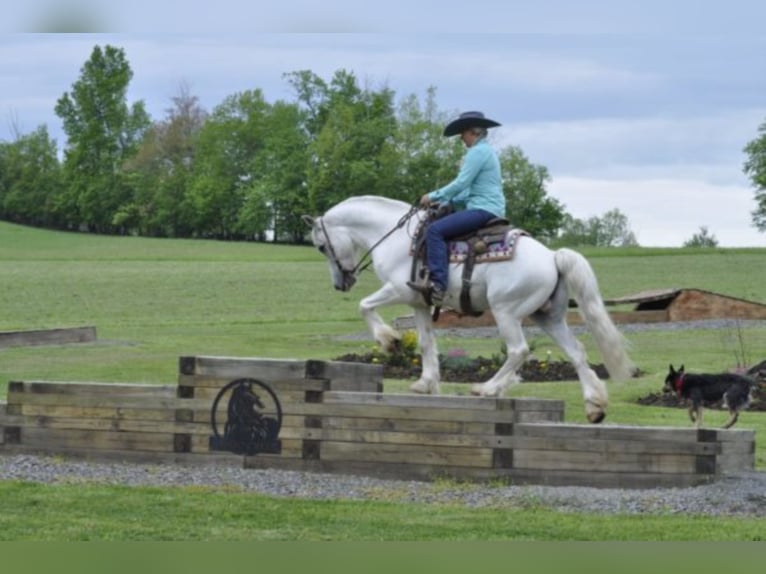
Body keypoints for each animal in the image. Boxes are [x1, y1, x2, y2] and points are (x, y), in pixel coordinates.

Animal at [304, 196, 636, 426]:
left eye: (321, 246)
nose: (341, 283)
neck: (395, 237)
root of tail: (553, 256)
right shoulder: (419, 303)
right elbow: (426, 343)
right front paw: (426, 382)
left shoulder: (399, 290)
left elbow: (364, 306)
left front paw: (389, 340)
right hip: (548, 317)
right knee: (576, 352)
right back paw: (594, 405)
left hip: (506, 312)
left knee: (518, 350)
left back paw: (487, 389)